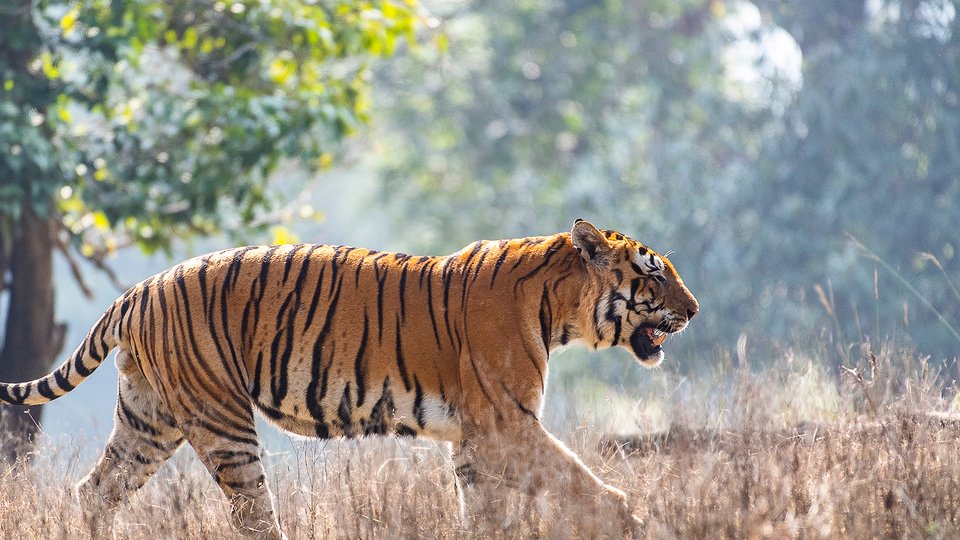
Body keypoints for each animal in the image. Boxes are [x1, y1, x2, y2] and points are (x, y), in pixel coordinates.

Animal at [0, 219, 697, 538]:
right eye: (653, 273)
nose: (694, 310)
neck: (558, 307)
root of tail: (139, 289)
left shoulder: (477, 442)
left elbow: (486, 513)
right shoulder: (506, 424)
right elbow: (578, 478)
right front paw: (631, 518)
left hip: (149, 420)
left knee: (95, 491)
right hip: (221, 421)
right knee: (253, 515)